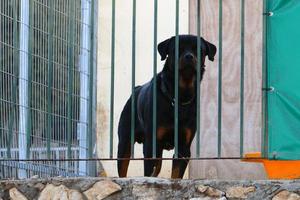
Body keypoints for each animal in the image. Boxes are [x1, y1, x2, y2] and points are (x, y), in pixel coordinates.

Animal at [117, 34, 216, 178]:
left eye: (199, 49)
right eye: (177, 48)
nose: (189, 56)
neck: (180, 96)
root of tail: (136, 89)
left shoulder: (183, 148)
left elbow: (176, 174)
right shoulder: (151, 146)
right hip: (125, 142)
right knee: (123, 167)